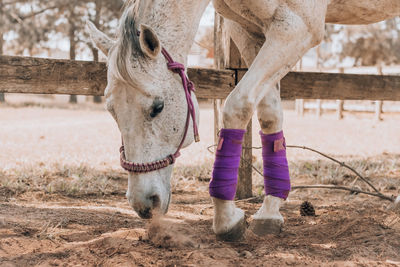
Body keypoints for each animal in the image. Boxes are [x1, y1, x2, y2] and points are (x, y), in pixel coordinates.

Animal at [89, 0, 400, 242]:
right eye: (112, 110)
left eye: (158, 107)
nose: (143, 204)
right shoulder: (248, 30)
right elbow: (269, 114)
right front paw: (270, 213)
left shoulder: (295, 28)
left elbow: (237, 105)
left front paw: (226, 219)